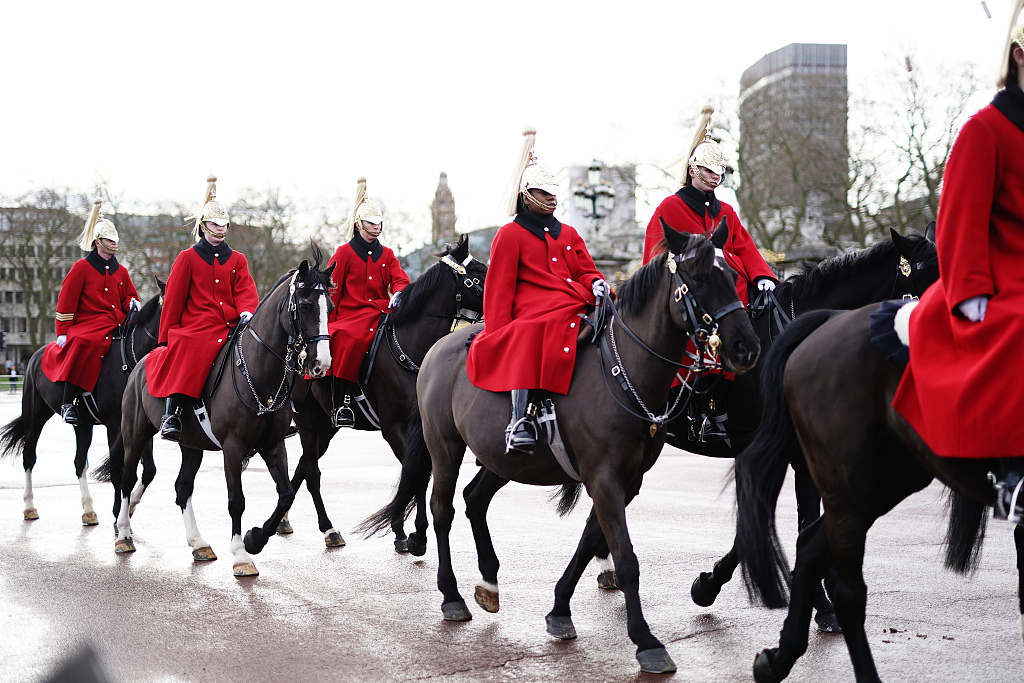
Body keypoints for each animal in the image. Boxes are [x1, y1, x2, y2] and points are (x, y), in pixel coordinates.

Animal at [114, 250, 333, 577]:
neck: (258, 371)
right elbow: (236, 501)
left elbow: (285, 494)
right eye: (305, 305)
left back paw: (198, 543)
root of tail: (141, 363)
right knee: (127, 479)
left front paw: (256, 538)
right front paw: (241, 554)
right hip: (136, 435)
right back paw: (124, 534)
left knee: (182, 488)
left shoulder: (273, 445)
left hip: (191, 445)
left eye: (331, 307)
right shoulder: (233, 447)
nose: (322, 363)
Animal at [280, 233, 487, 548]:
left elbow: (417, 473)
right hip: (308, 423)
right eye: (478, 272)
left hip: (326, 428)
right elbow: (415, 475)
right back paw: (327, 528)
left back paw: (284, 519)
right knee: (312, 472)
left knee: (304, 465)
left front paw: (406, 531)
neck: (411, 349)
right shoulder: (394, 428)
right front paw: (413, 532)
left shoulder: (422, 430)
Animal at [409, 220, 761, 671]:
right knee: (443, 509)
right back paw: (451, 595)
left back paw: (488, 581)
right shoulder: (604, 478)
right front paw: (646, 641)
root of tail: (441, 346)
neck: (624, 369)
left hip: (505, 460)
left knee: (475, 499)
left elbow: (589, 541)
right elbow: (625, 557)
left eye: (733, 275)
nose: (746, 348)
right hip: (446, 447)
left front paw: (560, 610)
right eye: (699, 277)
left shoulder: (625, 481)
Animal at [733, 305, 1024, 683]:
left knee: (809, 547)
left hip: (883, 482)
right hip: (851, 490)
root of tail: (833, 318)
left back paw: (780, 656)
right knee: (848, 595)